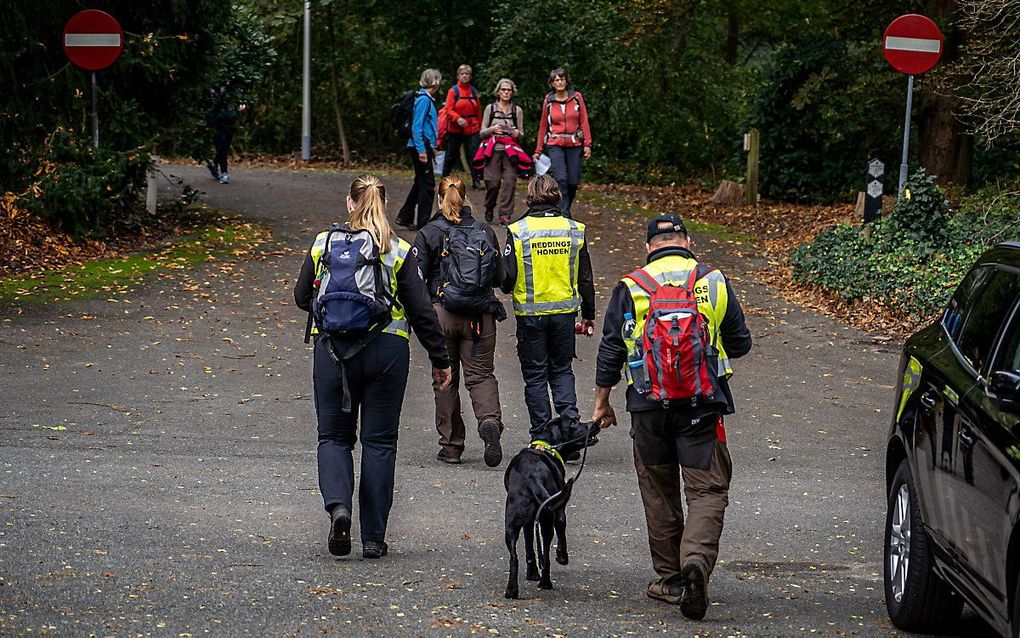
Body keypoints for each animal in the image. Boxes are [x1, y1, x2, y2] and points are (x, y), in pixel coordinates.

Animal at [501, 416, 595, 600]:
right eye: (574, 422)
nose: (595, 424)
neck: (546, 446)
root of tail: (532, 477)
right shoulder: (559, 513)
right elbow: (561, 536)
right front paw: (562, 557)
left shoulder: (529, 522)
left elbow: (529, 546)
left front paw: (532, 573)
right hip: (546, 520)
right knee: (545, 554)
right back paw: (545, 583)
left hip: (511, 525)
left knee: (514, 558)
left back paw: (512, 590)